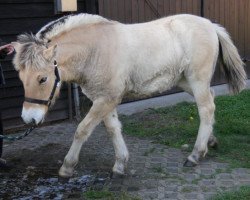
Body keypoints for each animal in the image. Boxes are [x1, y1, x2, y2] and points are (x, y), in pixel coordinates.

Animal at [12, 13, 246, 177]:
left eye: (42, 79)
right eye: (21, 78)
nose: (29, 118)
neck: (95, 50)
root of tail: (210, 25)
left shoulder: (106, 99)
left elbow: (82, 130)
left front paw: (67, 167)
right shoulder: (103, 99)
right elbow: (113, 129)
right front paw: (120, 164)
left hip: (197, 80)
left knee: (206, 109)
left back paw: (195, 154)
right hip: (186, 82)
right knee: (211, 100)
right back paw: (210, 143)